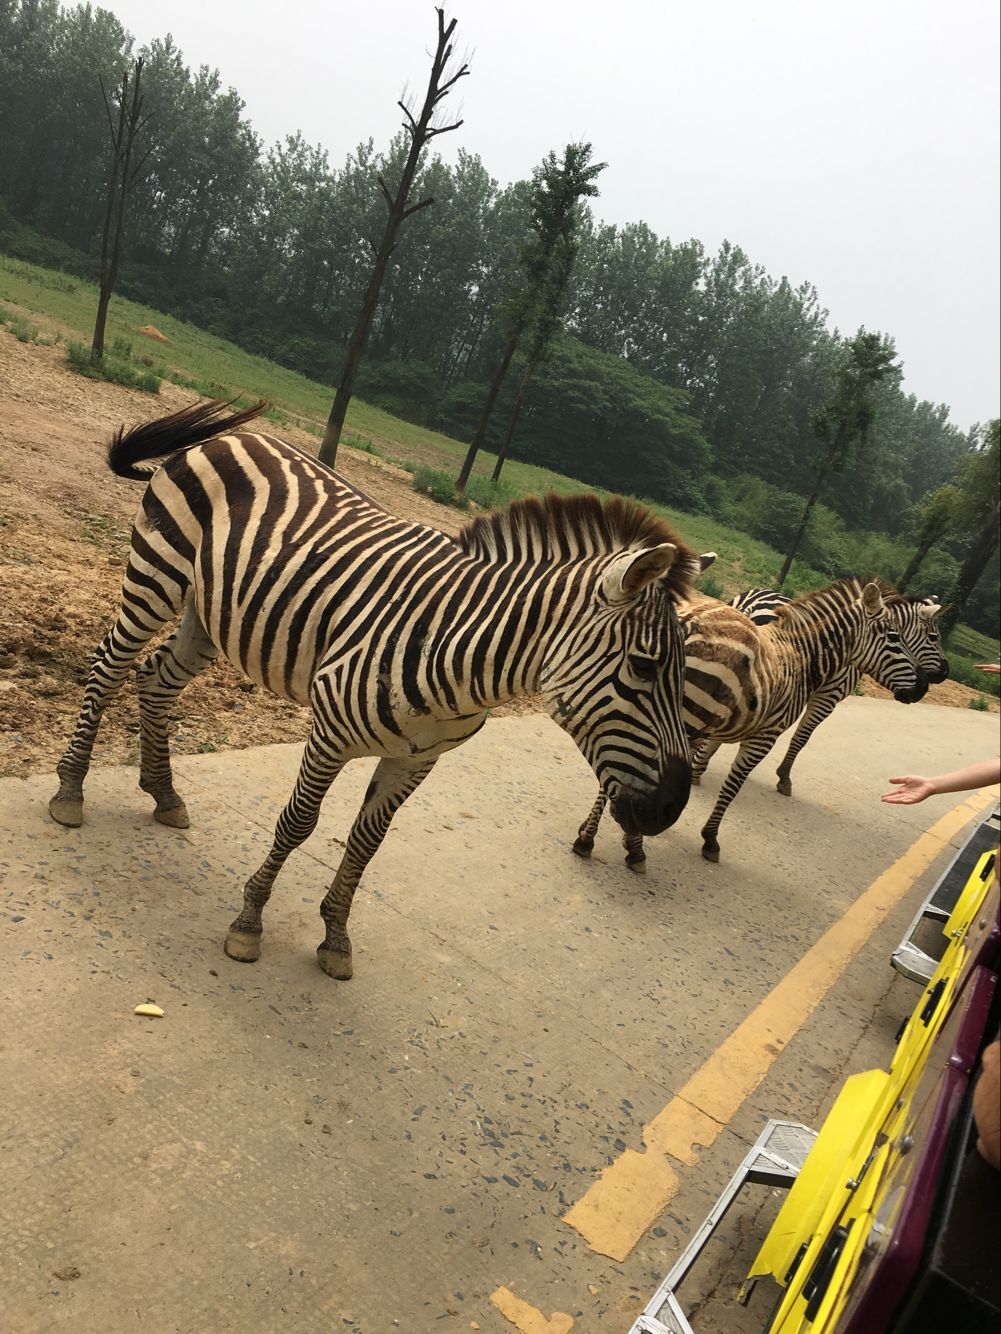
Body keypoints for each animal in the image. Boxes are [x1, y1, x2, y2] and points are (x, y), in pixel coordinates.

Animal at [49, 397, 704, 981]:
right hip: (156, 574)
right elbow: (299, 823)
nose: (673, 808)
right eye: (644, 667)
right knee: (108, 666)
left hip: (209, 612)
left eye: (681, 672)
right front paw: (249, 922)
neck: (458, 651)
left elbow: (367, 843)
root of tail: (232, 438)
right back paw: (71, 792)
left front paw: (335, 937)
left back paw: (163, 794)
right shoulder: (330, 733)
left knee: (157, 681)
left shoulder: (419, 758)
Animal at [726, 586, 950, 789]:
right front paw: (784, 777)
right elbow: (802, 737)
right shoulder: (828, 697)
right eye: (934, 637)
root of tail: (753, 601)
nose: (945, 673)